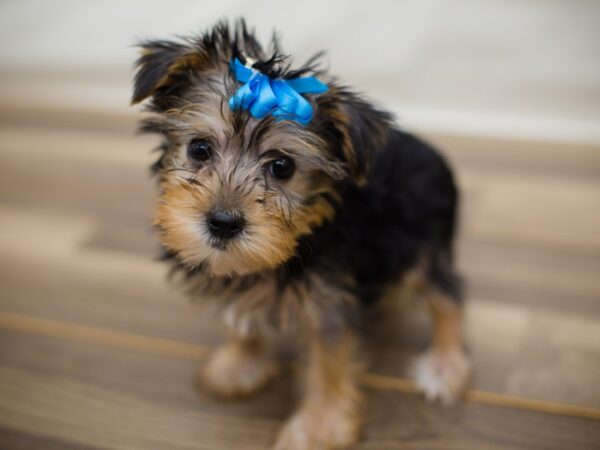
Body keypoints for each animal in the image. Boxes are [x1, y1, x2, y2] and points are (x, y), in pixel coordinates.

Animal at [134, 20, 472, 450]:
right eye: (199, 148)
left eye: (282, 166)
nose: (223, 222)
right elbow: (242, 317)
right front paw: (240, 363)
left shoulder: (330, 303)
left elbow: (328, 361)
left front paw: (319, 425)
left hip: (422, 245)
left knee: (448, 296)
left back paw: (444, 364)